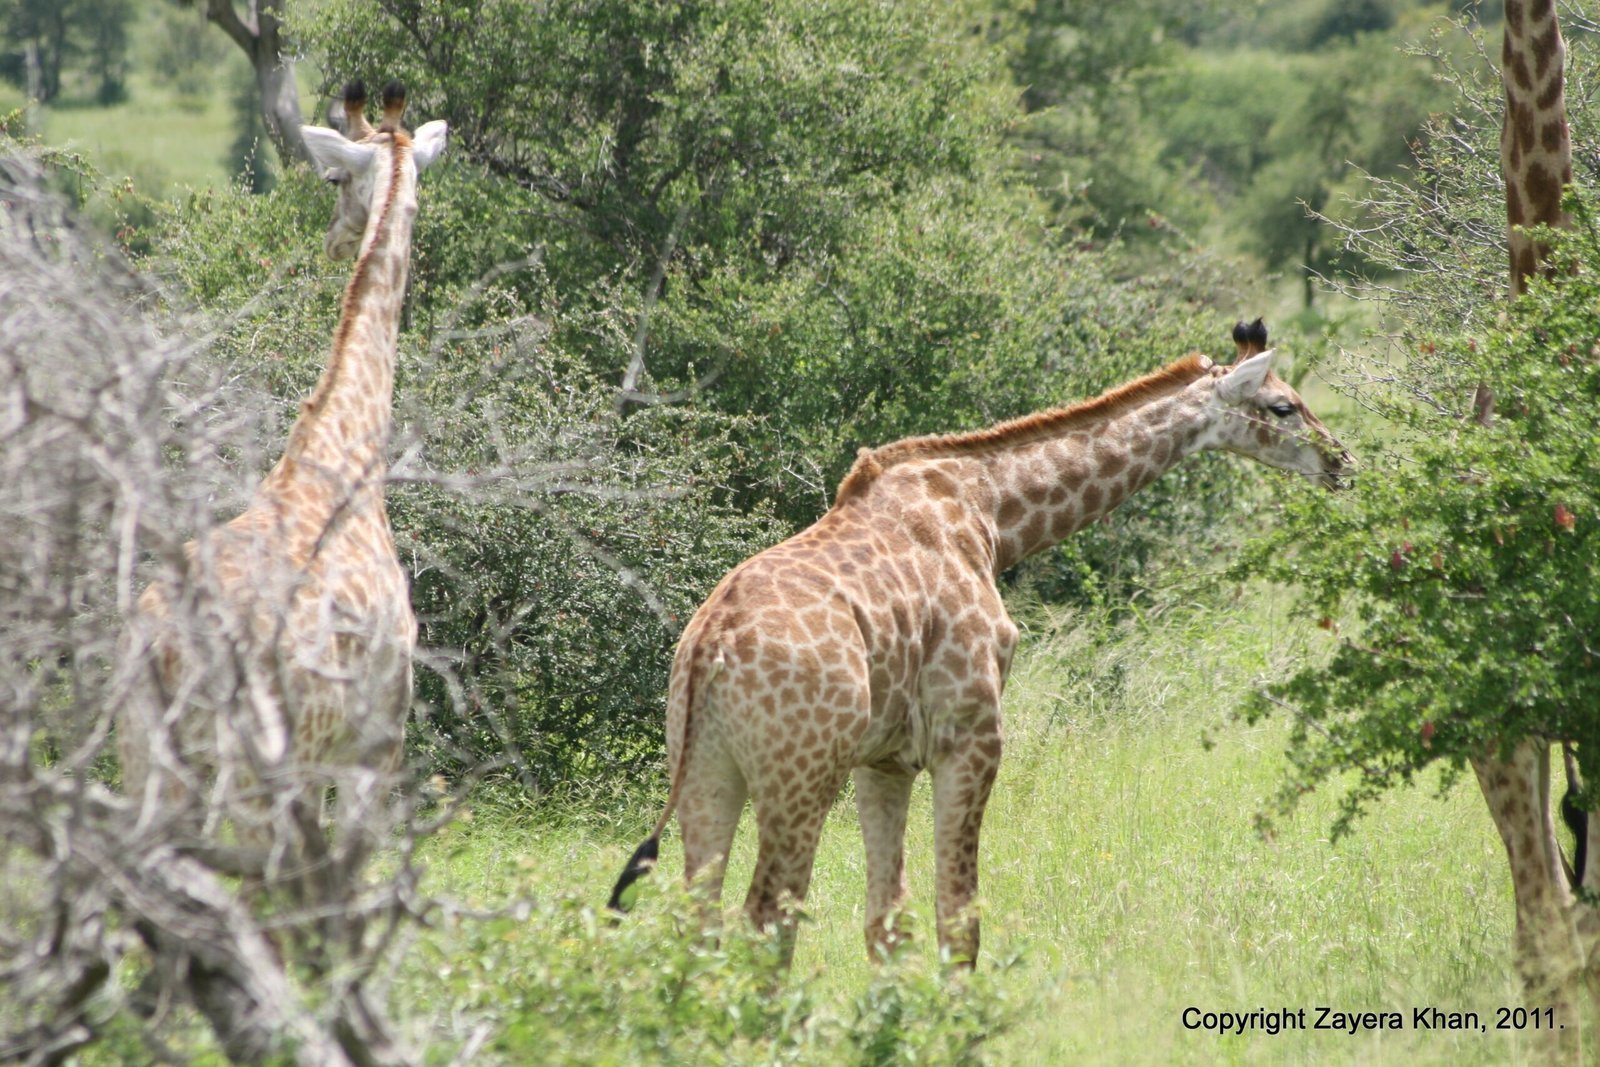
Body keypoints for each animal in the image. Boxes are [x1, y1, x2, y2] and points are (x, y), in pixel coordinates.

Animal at [118, 82, 447, 873]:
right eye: (335, 179)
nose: (332, 241)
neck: (344, 458)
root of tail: (165, 643)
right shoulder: (377, 740)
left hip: (151, 758)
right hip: (253, 767)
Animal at [610, 326, 1351, 964]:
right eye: (1282, 405)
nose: (1342, 462)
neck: (990, 513)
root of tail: (707, 649)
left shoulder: (884, 759)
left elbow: (888, 921)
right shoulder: (970, 734)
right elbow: (959, 920)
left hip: (708, 772)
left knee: (701, 921)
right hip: (800, 777)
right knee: (766, 921)